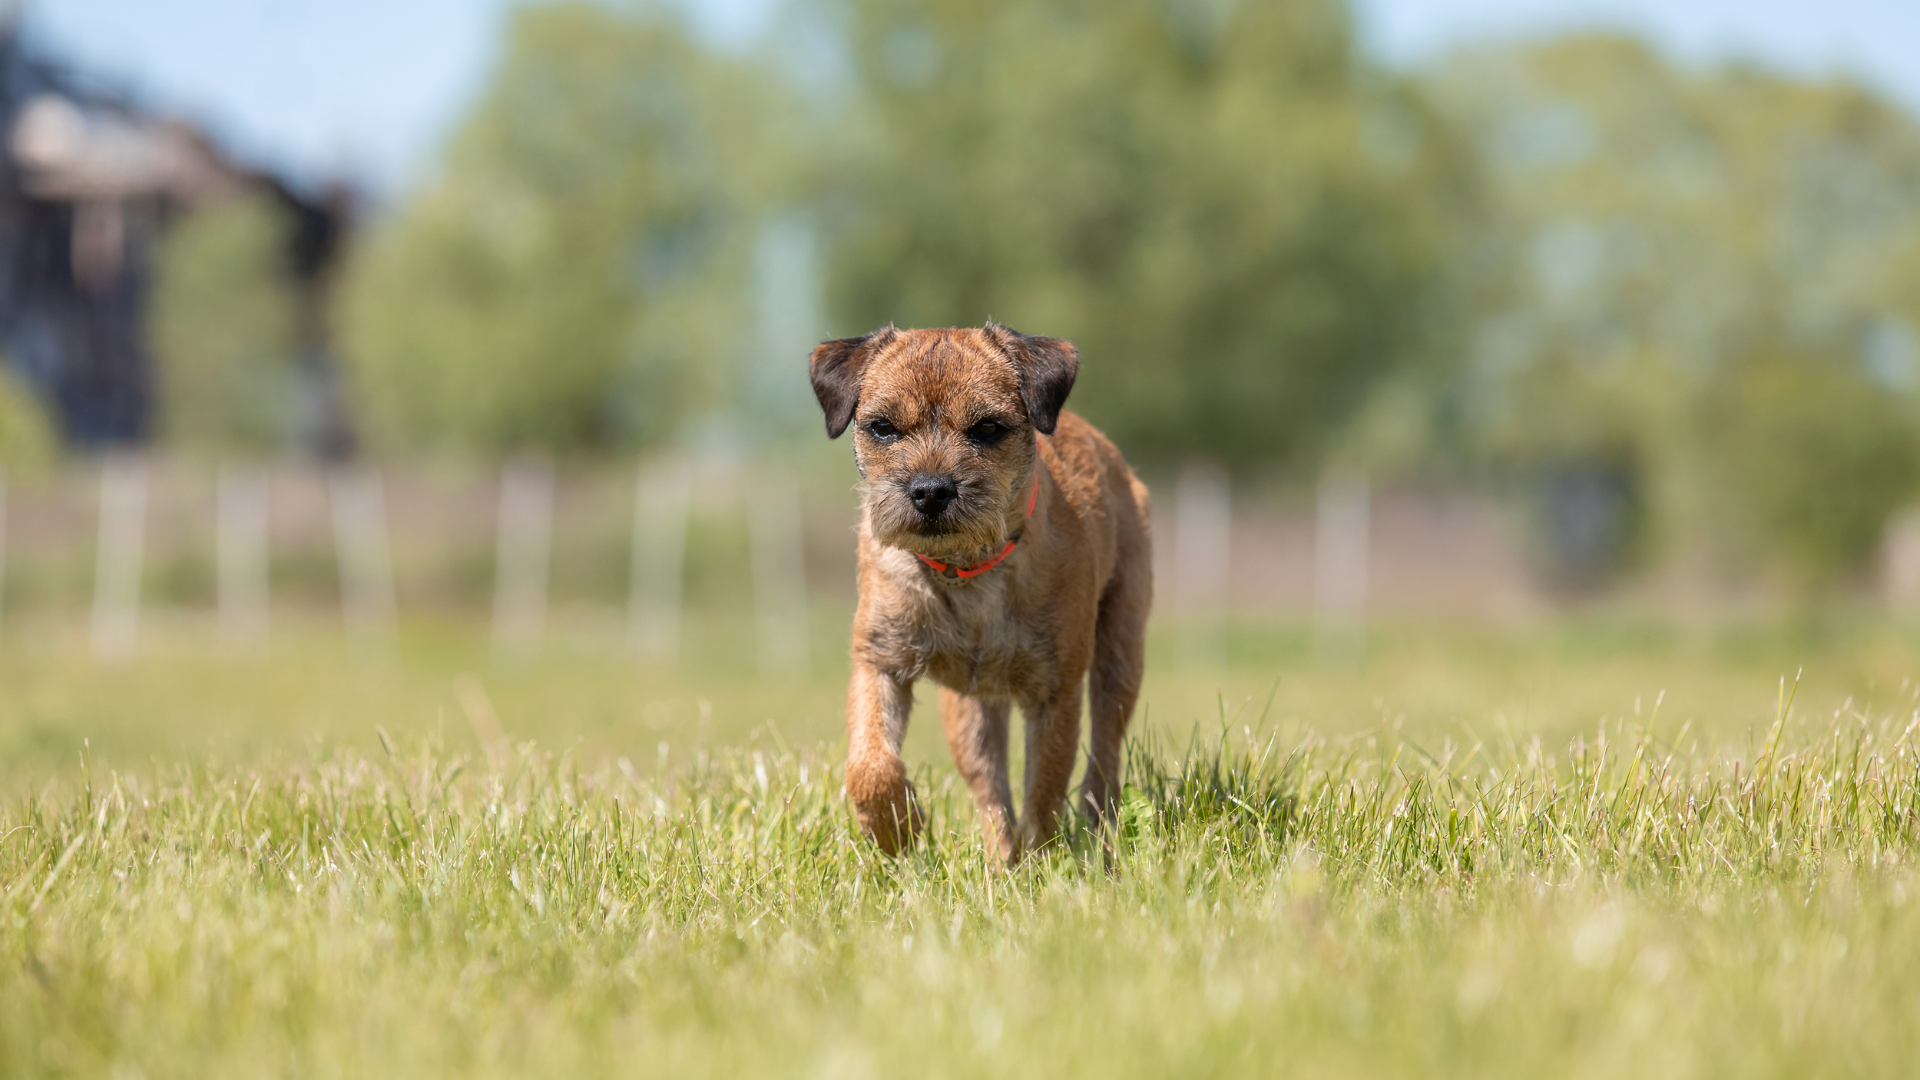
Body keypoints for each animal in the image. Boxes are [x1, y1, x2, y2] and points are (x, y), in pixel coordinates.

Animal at [806, 319, 1144, 857]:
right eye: (882, 427)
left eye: (987, 428)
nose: (930, 489)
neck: (965, 569)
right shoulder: (879, 662)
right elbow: (869, 765)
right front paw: (896, 827)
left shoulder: (1055, 691)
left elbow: (1043, 790)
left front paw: (1043, 863)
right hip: (969, 711)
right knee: (989, 791)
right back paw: (998, 860)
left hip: (1121, 653)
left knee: (1103, 759)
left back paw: (1096, 838)